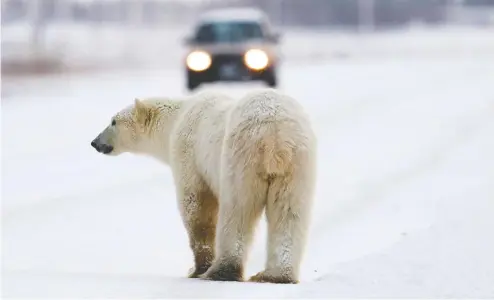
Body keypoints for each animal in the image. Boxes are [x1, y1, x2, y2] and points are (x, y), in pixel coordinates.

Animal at [90, 88, 316, 284]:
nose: (94, 142)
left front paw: (198, 269)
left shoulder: (189, 154)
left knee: (237, 209)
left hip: (241, 156)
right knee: (289, 211)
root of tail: (276, 136)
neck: (176, 119)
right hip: (297, 166)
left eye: (113, 121)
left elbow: (196, 206)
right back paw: (275, 275)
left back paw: (221, 271)